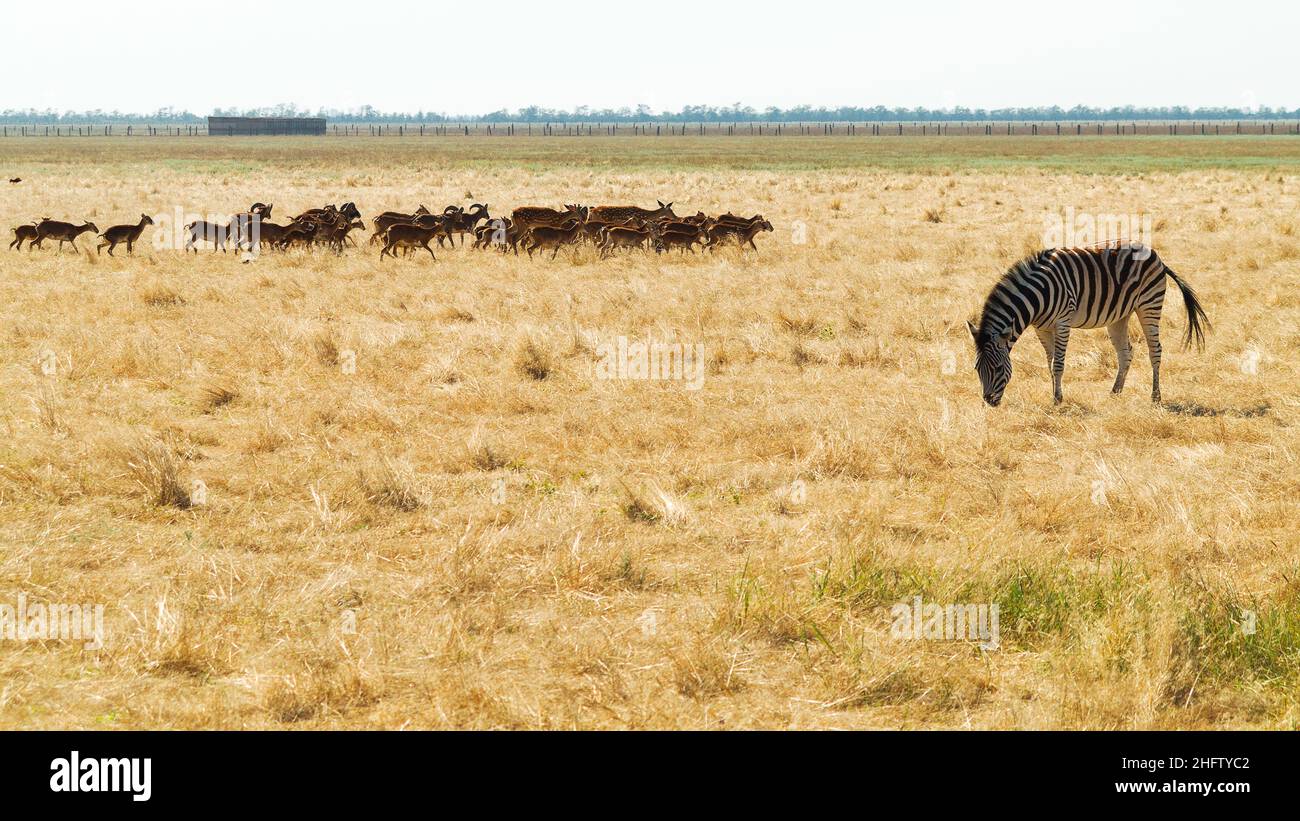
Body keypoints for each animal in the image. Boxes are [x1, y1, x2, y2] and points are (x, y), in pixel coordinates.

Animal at [966, 243, 1209, 406]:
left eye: (998, 368)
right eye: (977, 369)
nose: (989, 401)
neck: (1036, 297)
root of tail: (1156, 255)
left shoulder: (1062, 322)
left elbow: (1058, 364)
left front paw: (1057, 399)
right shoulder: (1041, 328)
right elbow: (1049, 363)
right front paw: (1053, 394)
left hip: (1149, 304)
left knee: (1155, 350)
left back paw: (1155, 397)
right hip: (1119, 316)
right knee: (1125, 352)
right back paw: (1115, 392)